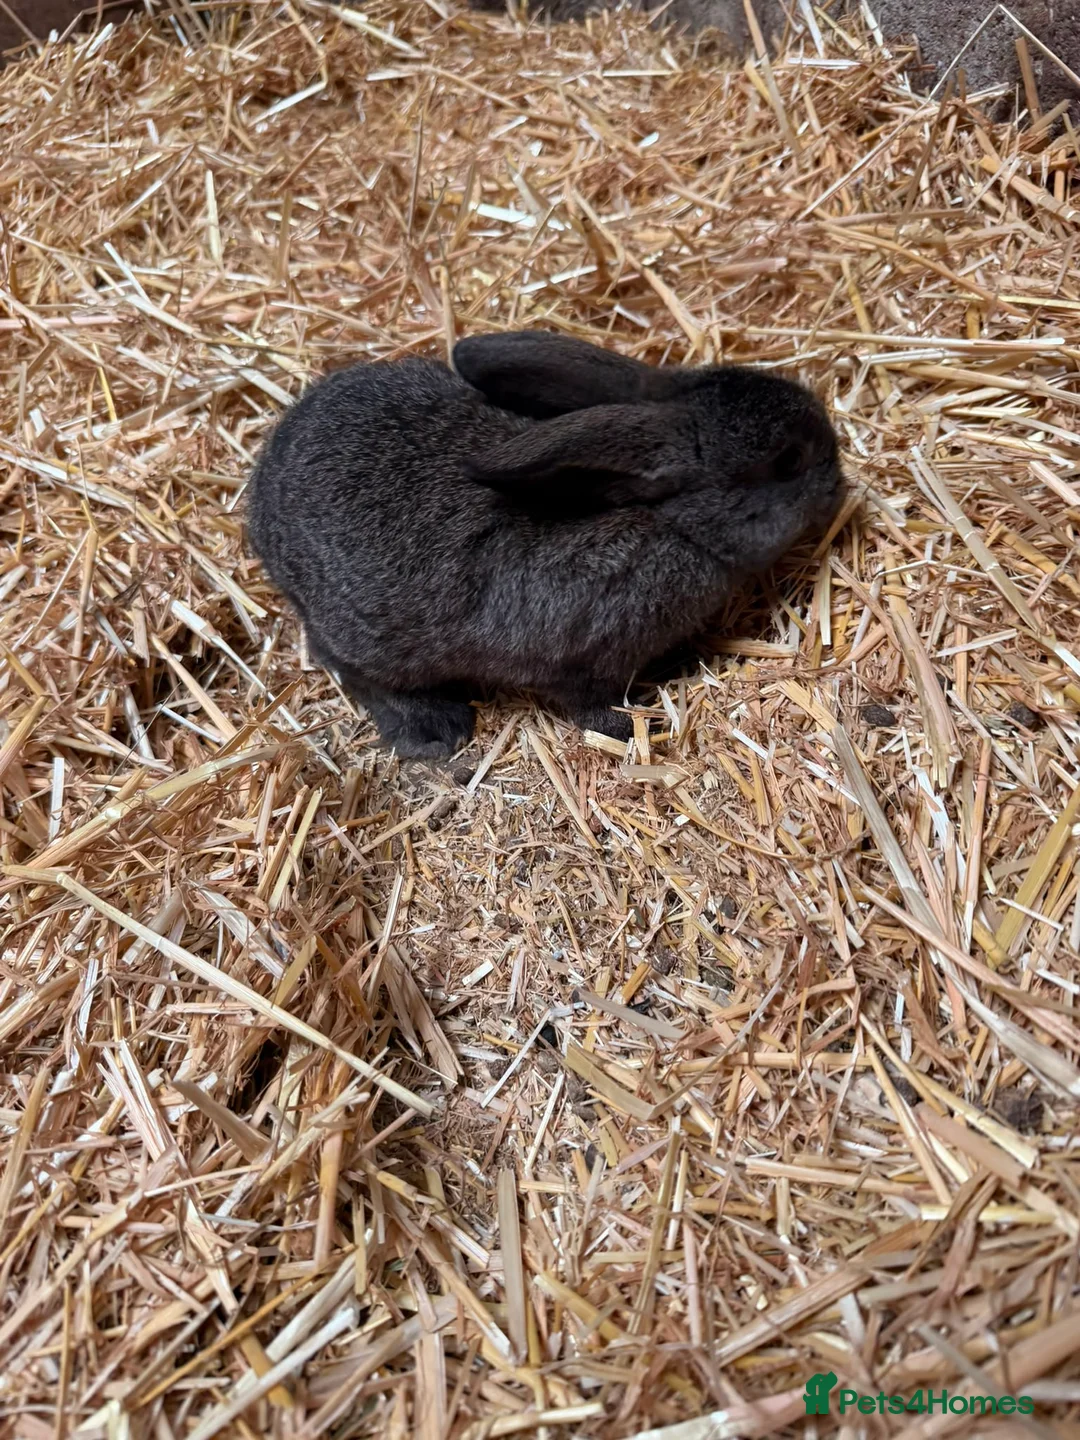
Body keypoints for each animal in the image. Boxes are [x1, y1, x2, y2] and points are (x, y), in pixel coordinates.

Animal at [246, 330, 843, 758]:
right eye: (788, 461)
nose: (840, 484)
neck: (670, 524)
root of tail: (261, 508)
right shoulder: (576, 666)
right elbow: (592, 706)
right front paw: (635, 723)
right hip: (367, 640)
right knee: (351, 669)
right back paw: (436, 731)